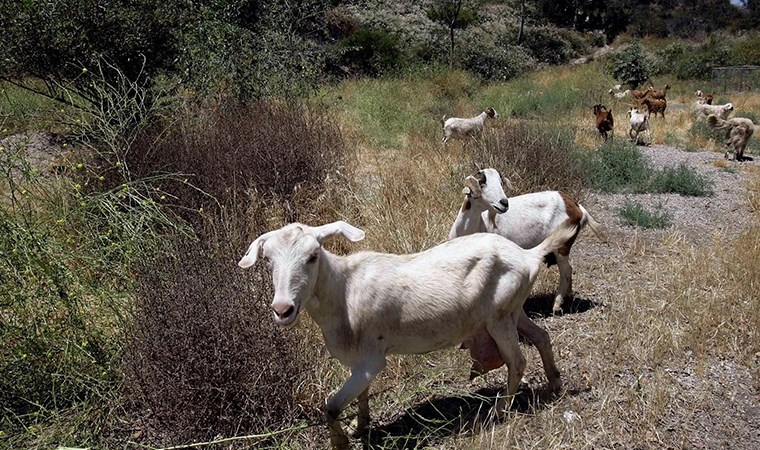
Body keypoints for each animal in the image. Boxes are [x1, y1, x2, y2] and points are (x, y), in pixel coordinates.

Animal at [240, 220, 580, 448]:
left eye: (313, 256)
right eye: (268, 260)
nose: (282, 309)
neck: (342, 290)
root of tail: (529, 256)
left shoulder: (372, 359)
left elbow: (331, 405)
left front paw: (341, 443)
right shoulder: (360, 361)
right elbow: (361, 395)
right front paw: (359, 427)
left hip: (500, 317)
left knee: (517, 361)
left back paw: (499, 411)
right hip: (513, 311)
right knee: (541, 336)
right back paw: (554, 384)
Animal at [448, 169, 604, 316]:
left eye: (501, 182)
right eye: (482, 182)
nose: (504, 203)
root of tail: (577, 207)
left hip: (562, 246)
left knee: (566, 272)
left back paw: (556, 305)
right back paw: (568, 297)